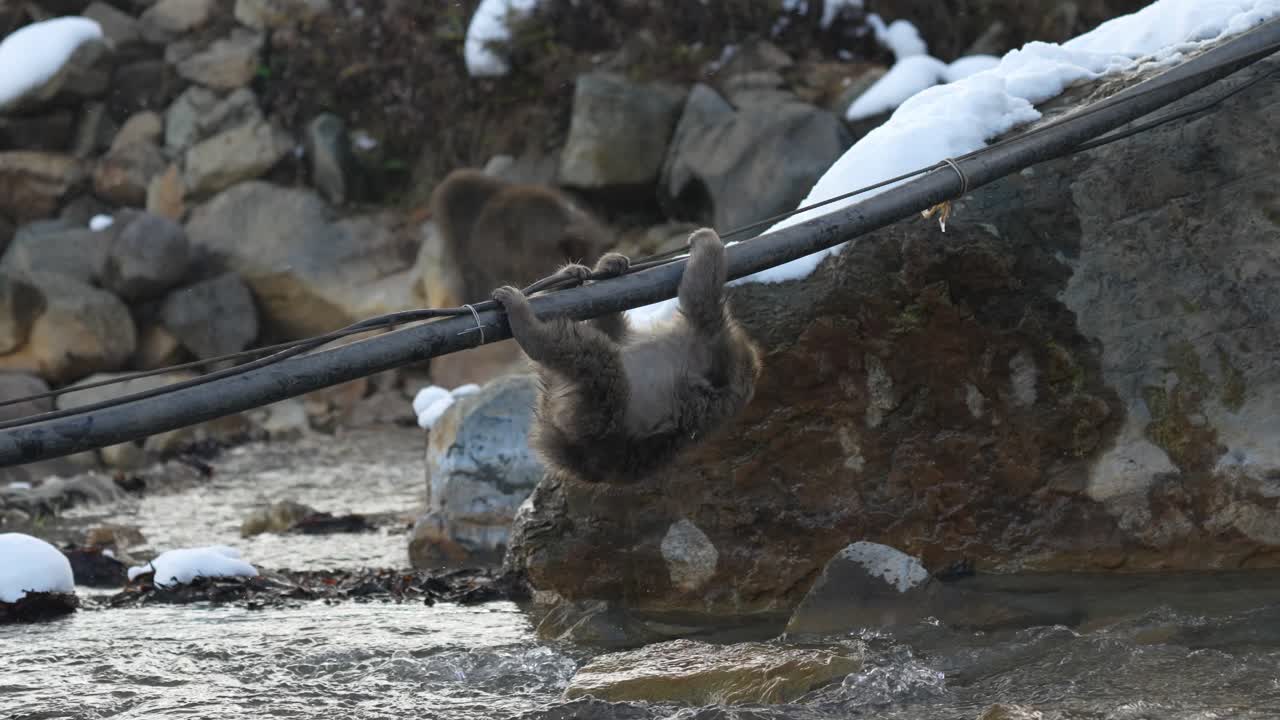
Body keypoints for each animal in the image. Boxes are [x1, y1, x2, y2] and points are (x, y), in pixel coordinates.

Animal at [491, 228, 763, 484]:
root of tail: (572, 453)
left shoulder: (714, 346)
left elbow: (699, 298)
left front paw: (706, 240)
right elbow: (611, 325)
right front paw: (610, 264)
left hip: (598, 416)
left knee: (594, 359)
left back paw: (527, 326)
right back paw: (568, 278)